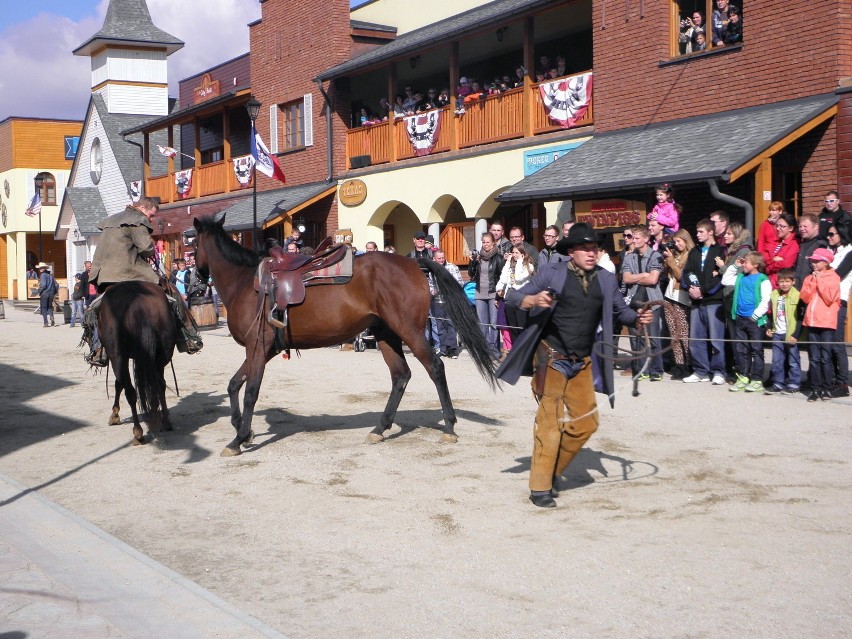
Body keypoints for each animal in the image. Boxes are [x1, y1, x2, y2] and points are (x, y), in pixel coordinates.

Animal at [95, 280, 177, 444]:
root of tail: (137, 298)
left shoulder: (119, 357)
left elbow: (119, 384)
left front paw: (115, 415)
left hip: (117, 357)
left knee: (131, 392)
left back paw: (138, 432)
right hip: (162, 355)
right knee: (160, 385)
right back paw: (165, 420)